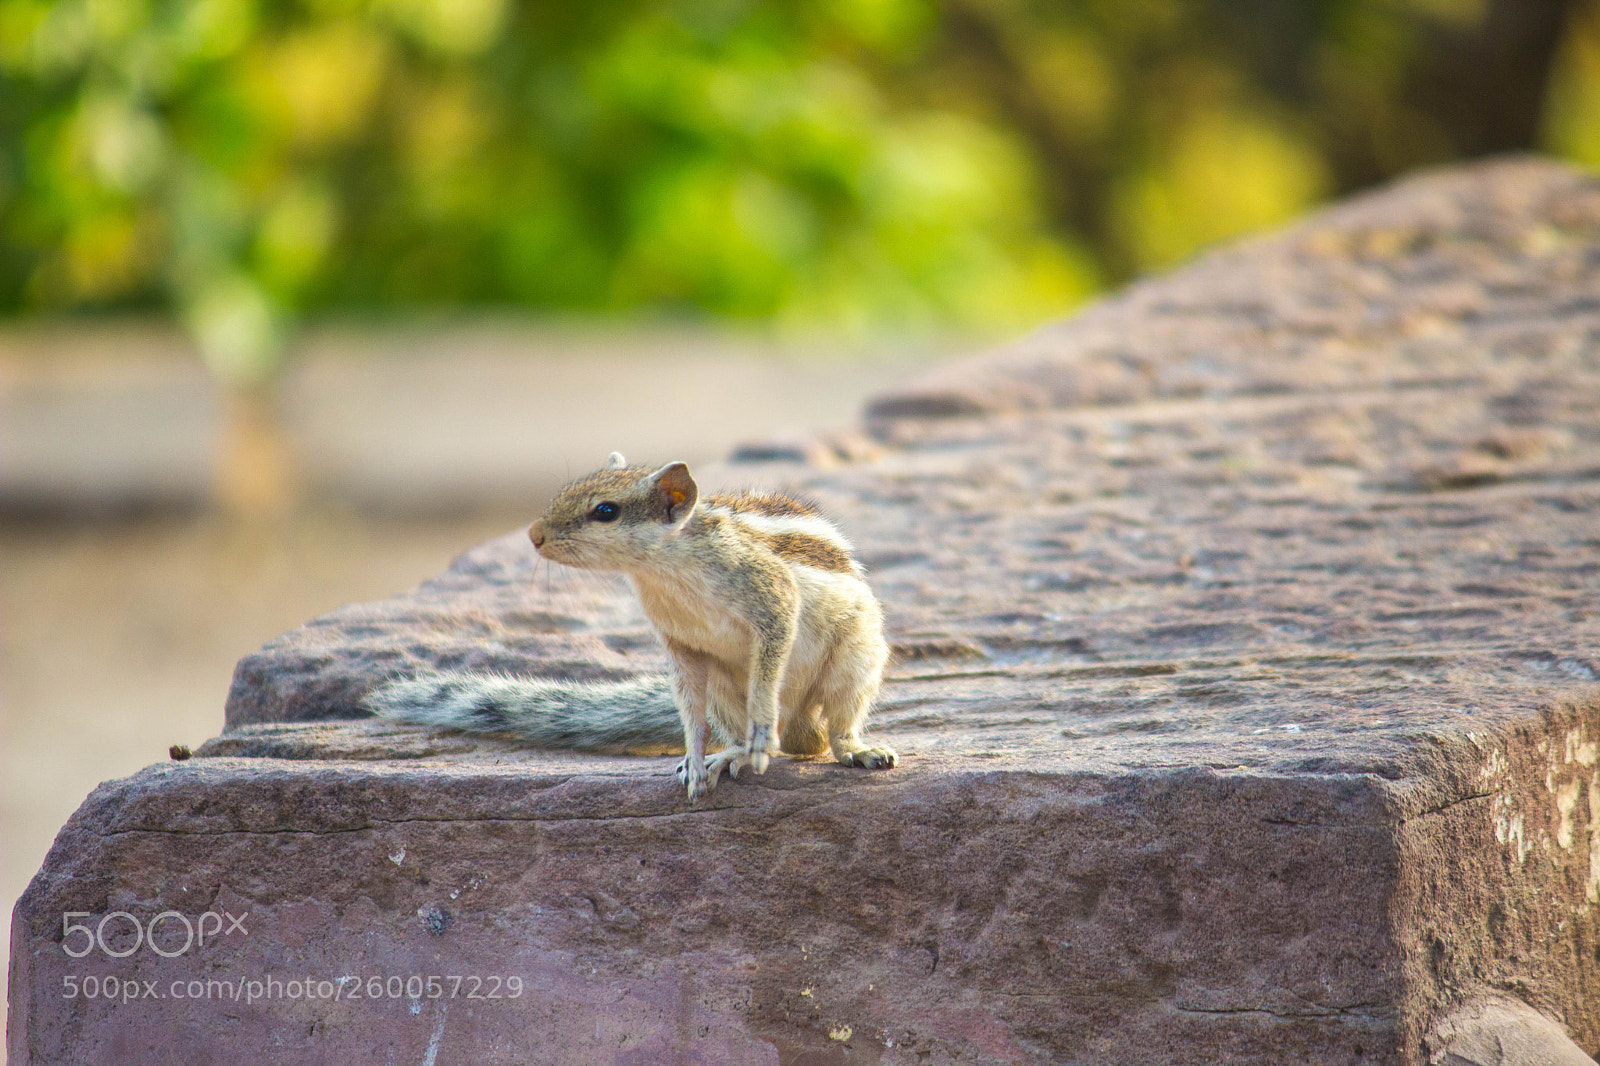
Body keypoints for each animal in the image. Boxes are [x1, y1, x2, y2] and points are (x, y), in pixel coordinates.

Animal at [367, 452, 897, 799]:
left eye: (606, 511)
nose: (534, 535)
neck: (665, 570)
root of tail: (804, 723)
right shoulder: (680, 645)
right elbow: (690, 711)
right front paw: (697, 757)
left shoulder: (772, 598)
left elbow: (770, 662)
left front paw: (761, 734)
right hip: (725, 693)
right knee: (752, 733)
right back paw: (727, 756)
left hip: (854, 663)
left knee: (834, 732)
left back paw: (856, 750)